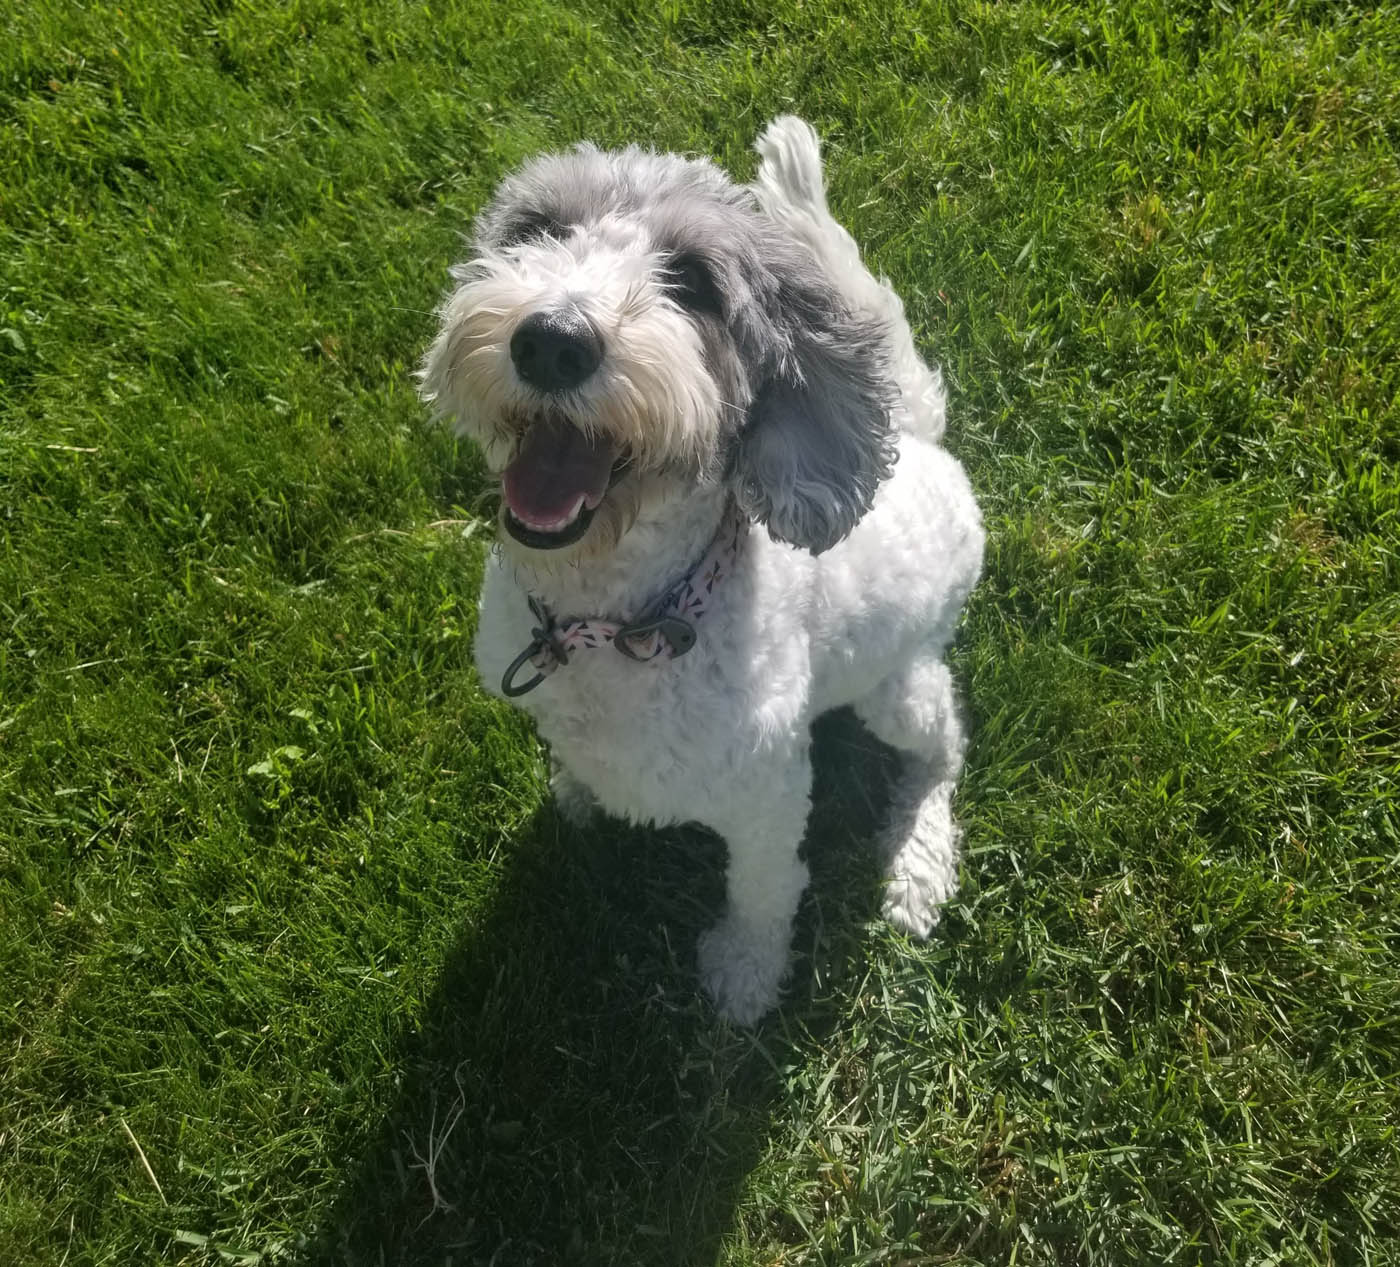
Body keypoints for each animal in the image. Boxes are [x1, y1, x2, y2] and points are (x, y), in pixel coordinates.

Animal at [420, 119, 980, 1024]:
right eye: (536, 230)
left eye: (694, 284)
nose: (552, 340)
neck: (620, 621)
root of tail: (919, 438)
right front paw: (577, 794)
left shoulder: (769, 796)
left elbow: (765, 890)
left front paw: (746, 975)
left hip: (898, 688)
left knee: (945, 747)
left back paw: (918, 859)